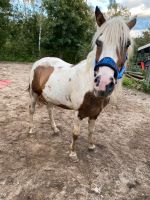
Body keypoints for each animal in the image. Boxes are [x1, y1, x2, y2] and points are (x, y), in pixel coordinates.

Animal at [27, 7, 136, 162]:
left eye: (127, 44)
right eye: (98, 42)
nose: (103, 83)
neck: (90, 86)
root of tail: (39, 62)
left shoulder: (95, 113)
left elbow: (91, 130)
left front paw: (91, 146)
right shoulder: (79, 113)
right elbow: (76, 133)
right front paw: (72, 153)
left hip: (50, 97)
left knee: (50, 110)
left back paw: (55, 129)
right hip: (34, 94)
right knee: (32, 110)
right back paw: (31, 130)